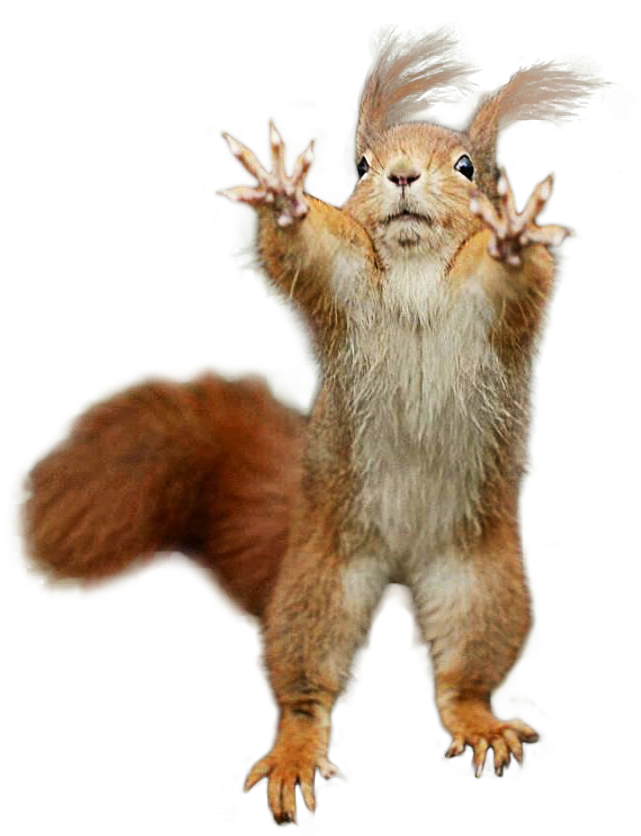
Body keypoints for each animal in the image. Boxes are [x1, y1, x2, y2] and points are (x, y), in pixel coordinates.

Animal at [7, 21, 609, 824]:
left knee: (461, 677)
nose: (402, 177)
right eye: (362, 165)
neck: (416, 272)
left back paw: (481, 724)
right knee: (304, 687)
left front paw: (511, 236)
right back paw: (294, 753)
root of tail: (401, 571)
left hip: (482, 579)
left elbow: (512, 278)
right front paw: (285, 197)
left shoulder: (496, 313)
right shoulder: (349, 286)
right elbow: (318, 251)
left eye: (465, 167)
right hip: (321, 584)